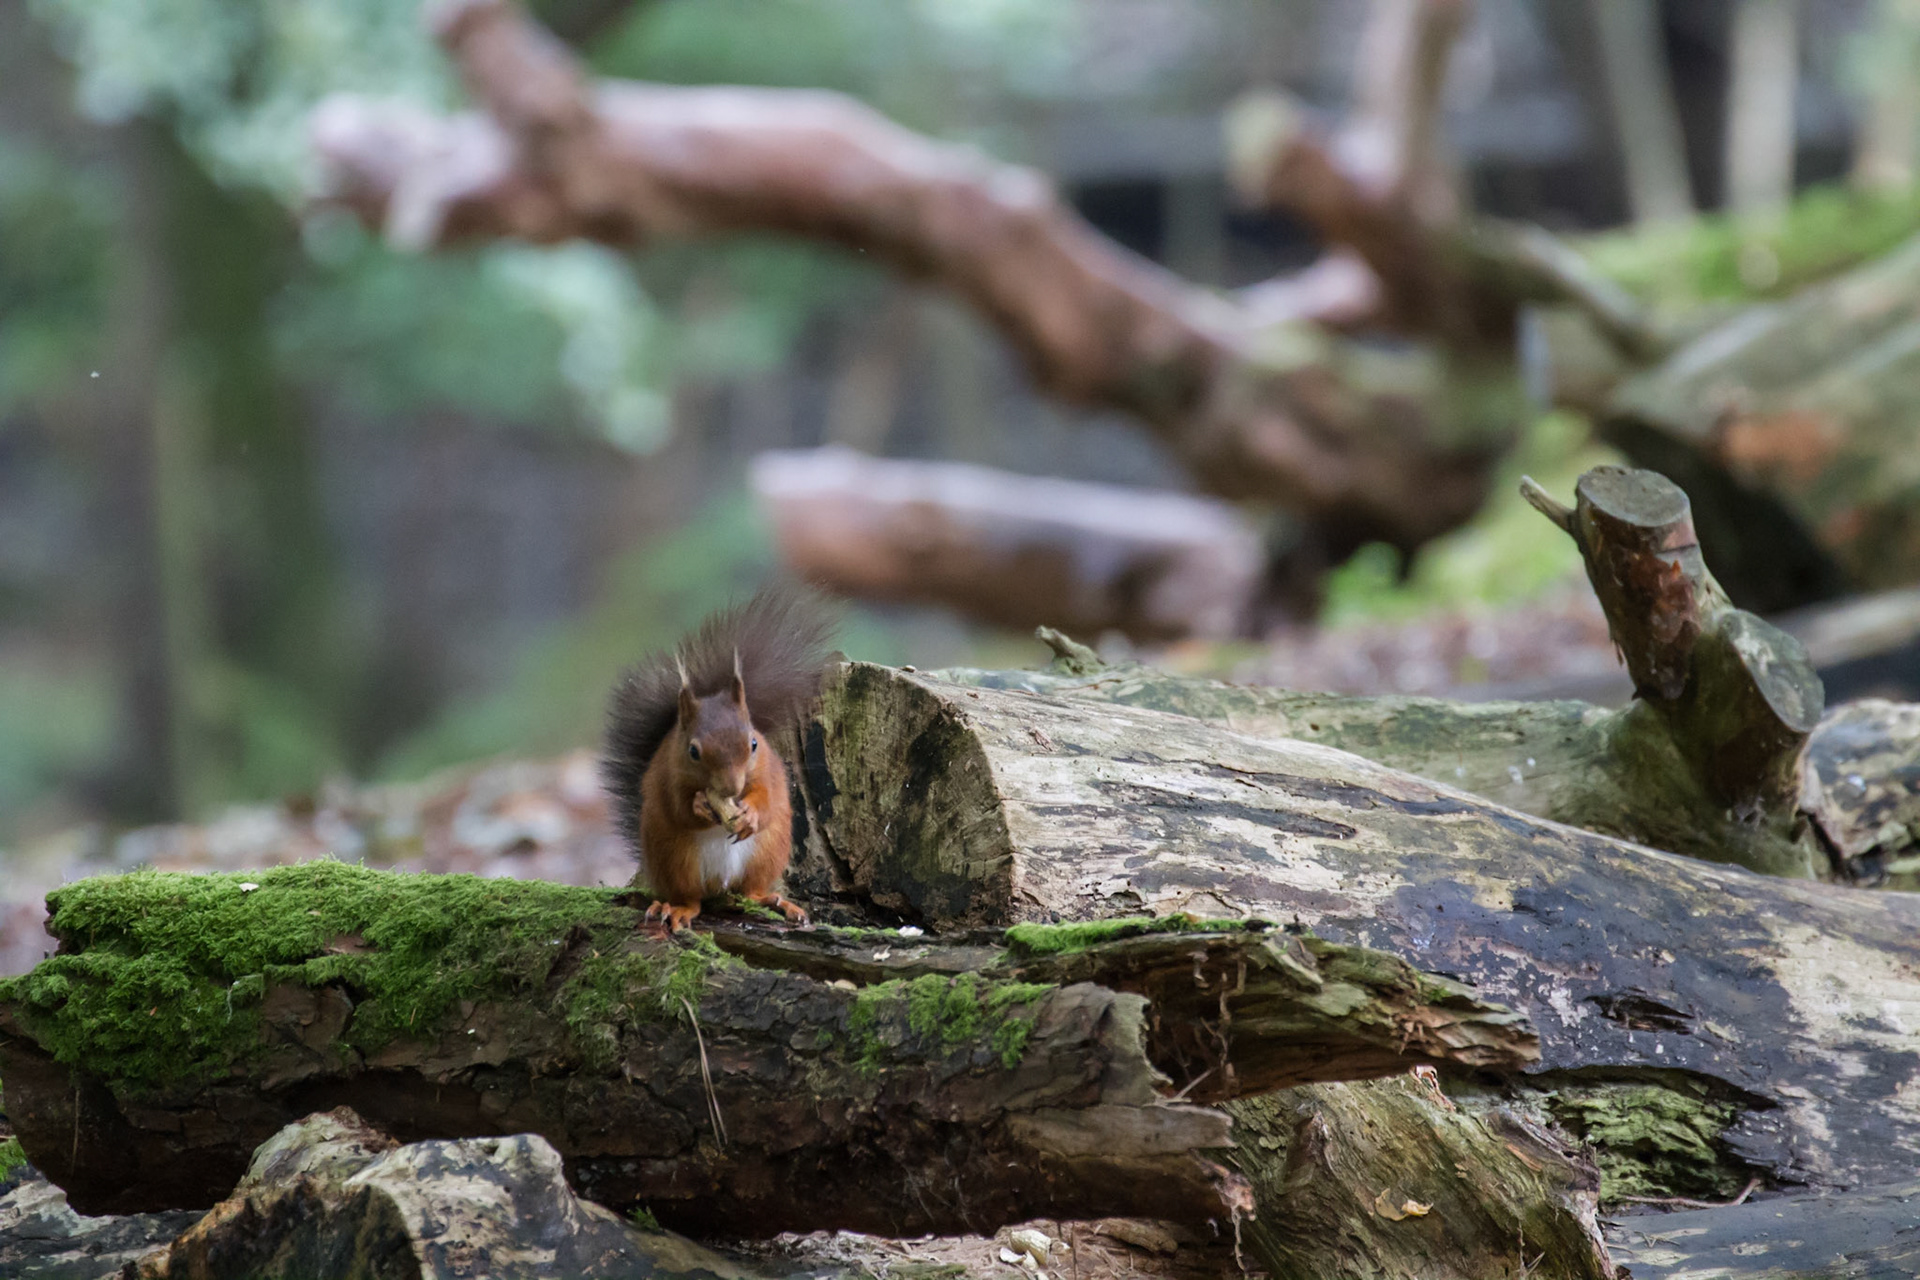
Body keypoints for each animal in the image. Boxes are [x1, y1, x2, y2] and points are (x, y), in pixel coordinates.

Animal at [601, 586, 834, 931]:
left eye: (754, 743)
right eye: (693, 752)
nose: (731, 789)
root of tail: (718, 885)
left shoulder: (769, 771)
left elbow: (767, 800)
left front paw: (750, 813)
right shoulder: (669, 776)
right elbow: (679, 807)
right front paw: (699, 805)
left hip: (766, 854)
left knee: (750, 891)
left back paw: (777, 902)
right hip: (677, 860)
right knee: (691, 899)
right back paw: (676, 909)